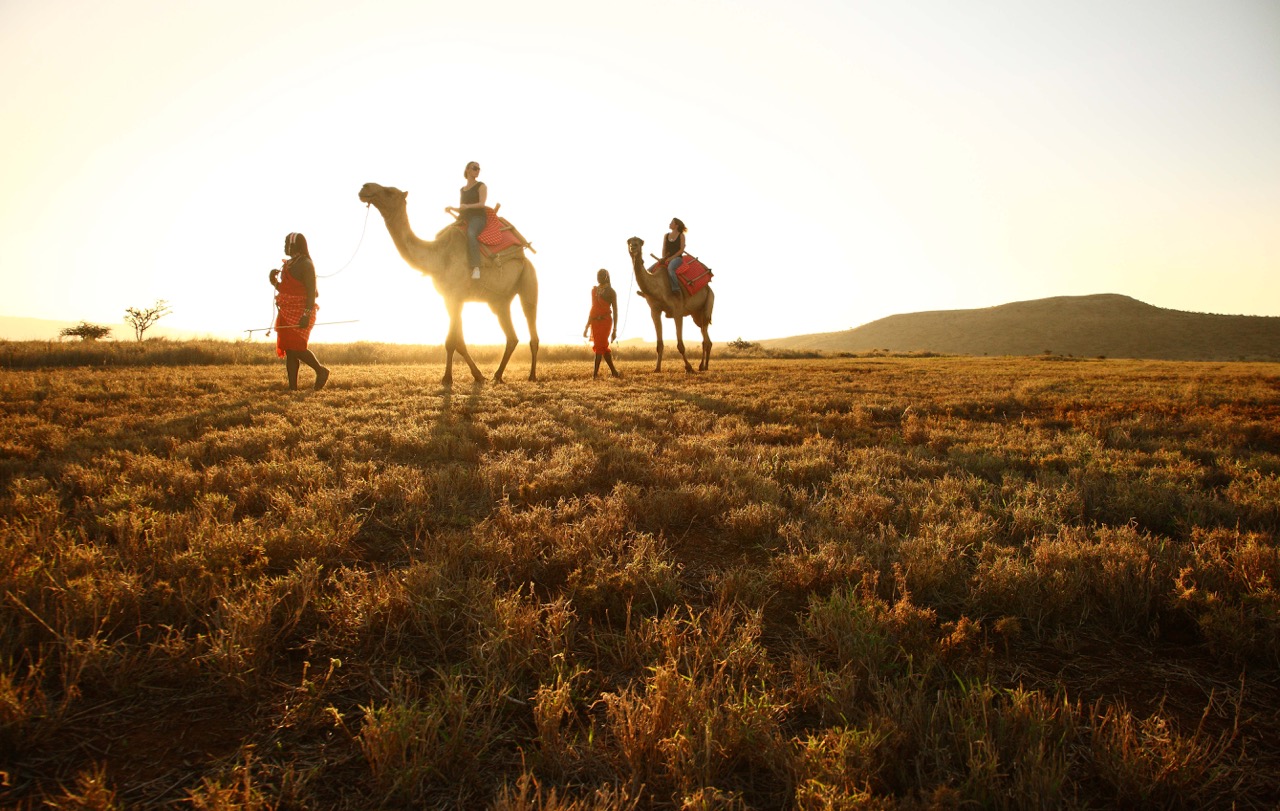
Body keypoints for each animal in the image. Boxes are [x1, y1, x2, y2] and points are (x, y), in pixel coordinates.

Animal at [358, 182, 539, 385]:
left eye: (389, 191)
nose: (365, 187)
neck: (438, 256)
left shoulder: (456, 295)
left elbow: (451, 341)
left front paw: (447, 378)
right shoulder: (449, 297)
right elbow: (459, 342)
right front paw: (478, 375)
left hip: (528, 279)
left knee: (531, 323)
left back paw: (532, 375)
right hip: (499, 301)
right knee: (512, 337)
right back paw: (498, 375)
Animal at [627, 236, 714, 372]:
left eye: (639, 242)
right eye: (629, 242)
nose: (633, 247)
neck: (659, 288)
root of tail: (708, 288)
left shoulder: (677, 311)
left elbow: (680, 345)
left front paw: (689, 367)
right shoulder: (654, 311)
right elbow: (659, 344)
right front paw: (657, 368)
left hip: (708, 302)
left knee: (705, 338)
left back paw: (701, 366)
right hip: (696, 314)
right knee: (705, 336)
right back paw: (704, 366)